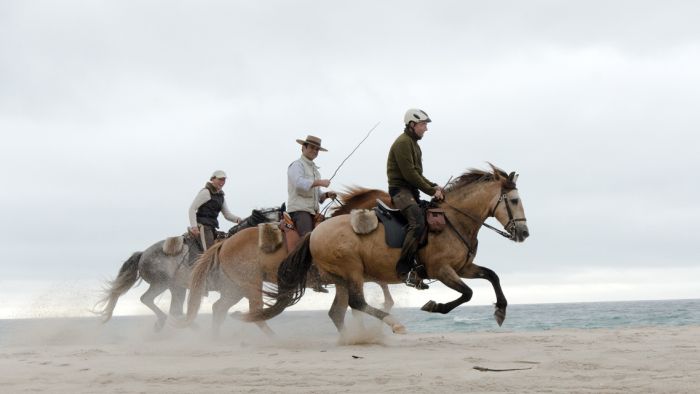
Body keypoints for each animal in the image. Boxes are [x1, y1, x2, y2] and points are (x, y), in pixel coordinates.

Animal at [94, 208, 284, 330]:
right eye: (275, 221)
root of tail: (142, 254)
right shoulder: (235, 289)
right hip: (161, 284)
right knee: (147, 299)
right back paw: (165, 322)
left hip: (176, 288)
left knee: (175, 311)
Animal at [243, 165, 528, 334]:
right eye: (514, 201)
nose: (524, 233)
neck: (453, 221)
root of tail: (316, 231)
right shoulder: (443, 270)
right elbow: (468, 293)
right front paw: (434, 306)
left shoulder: (463, 267)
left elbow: (492, 276)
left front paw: (500, 310)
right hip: (352, 271)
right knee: (357, 303)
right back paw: (393, 324)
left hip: (341, 278)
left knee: (338, 312)